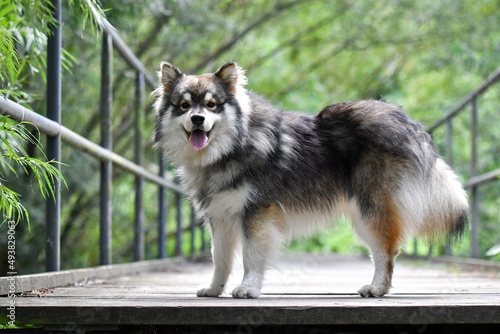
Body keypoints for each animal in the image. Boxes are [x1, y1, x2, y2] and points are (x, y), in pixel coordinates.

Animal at [153, 61, 468, 298]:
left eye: (211, 105)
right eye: (184, 106)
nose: (197, 120)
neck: (232, 148)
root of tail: (407, 123)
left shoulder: (256, 214)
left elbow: (251, 257)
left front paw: (248, 288)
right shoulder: (219, 218)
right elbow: (220, 260)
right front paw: (215, 289)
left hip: (371, 209)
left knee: (386, 251)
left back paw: (377, 288)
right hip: (361, 213)